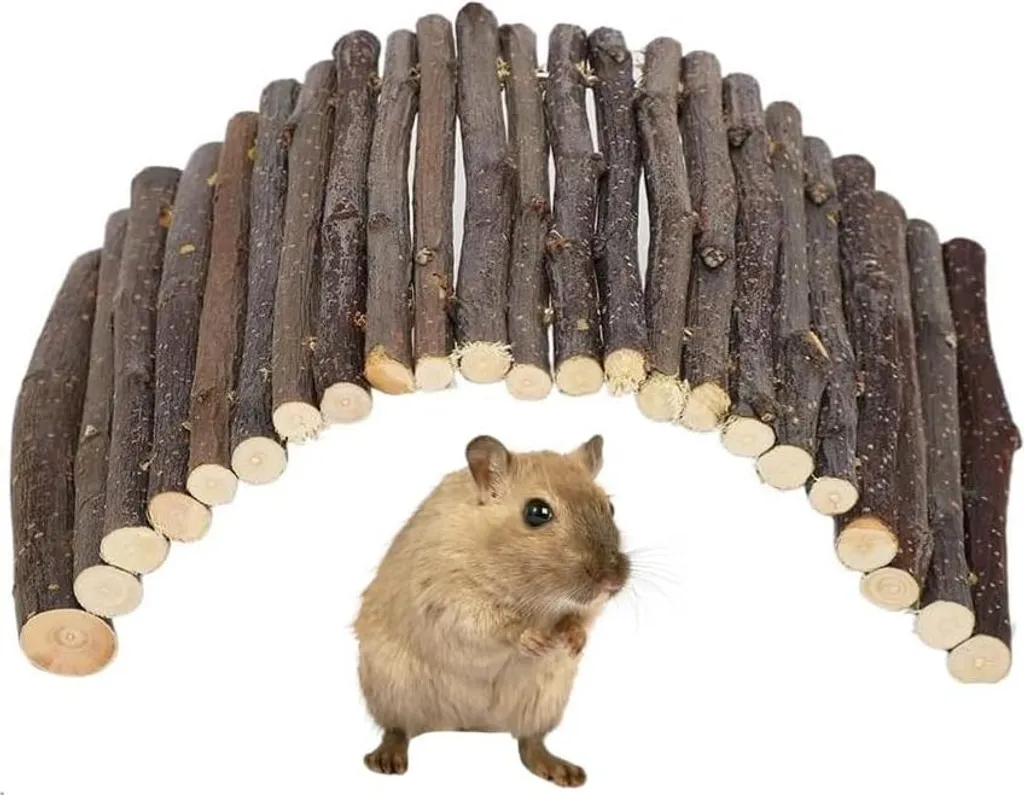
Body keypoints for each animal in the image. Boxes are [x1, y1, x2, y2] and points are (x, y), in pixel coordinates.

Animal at [354, 434, 630, 788]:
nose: (613, 581)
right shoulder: (451, 598)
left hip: (543, 702)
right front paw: (535, 640)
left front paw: (572, 641)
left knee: (529, 742)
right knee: (397, 729)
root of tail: (466, 725)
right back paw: (387, 759)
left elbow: (580, 618)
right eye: (537, 512)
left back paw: (563, 771)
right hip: (391, 690)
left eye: (610, 507)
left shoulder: (584, 608)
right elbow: (495, 626)